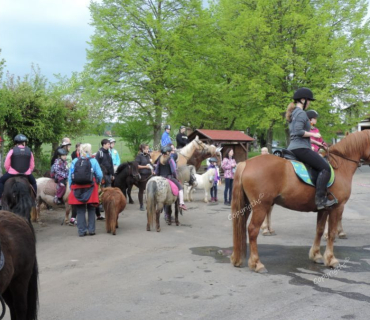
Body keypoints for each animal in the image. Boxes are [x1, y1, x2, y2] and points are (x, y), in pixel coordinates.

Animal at [230, 130, 370, 272]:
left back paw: (237, 259)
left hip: (247, 206)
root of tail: (246, 163)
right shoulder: (337, 207)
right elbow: (331, 233)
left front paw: (316, 255)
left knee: (241, 227)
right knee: (252, 230)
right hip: (261, 206)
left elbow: (319, 230)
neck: (340, 166)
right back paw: (257, 263)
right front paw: (331, 259)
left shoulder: (324, 209)